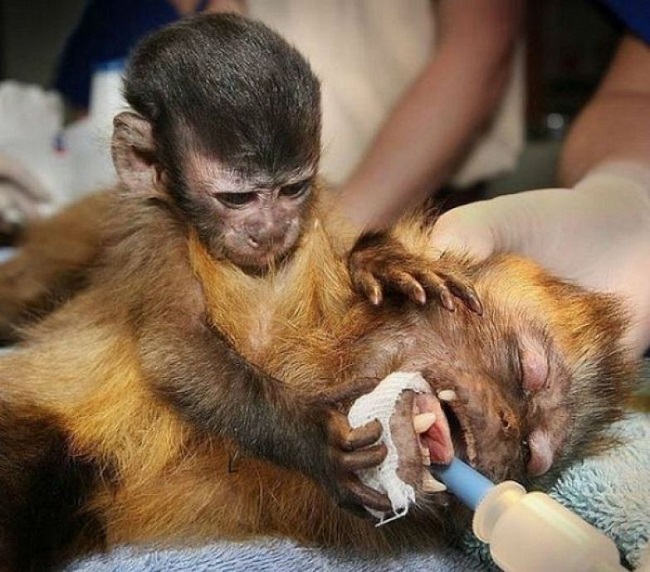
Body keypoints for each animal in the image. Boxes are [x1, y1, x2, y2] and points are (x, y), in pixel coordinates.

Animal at [0, 12, 638, 572]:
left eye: (534, 457)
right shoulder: (158, 238)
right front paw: (314, 439)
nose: (510, 435)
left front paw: (379, 259)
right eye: (528, 370)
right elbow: (172, 346)